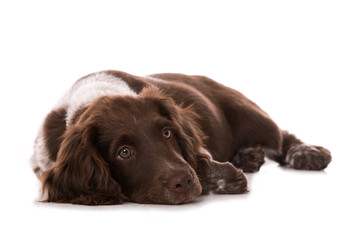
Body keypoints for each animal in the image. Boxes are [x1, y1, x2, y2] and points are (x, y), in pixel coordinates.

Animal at [31, 70, 332, 204]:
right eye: (124, 152)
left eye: (167, 133)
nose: (184, 182)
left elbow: (199, 158)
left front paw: (224, 177)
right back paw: (249, 156)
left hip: (248, 113)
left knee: (281, 137)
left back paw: (308, 154)